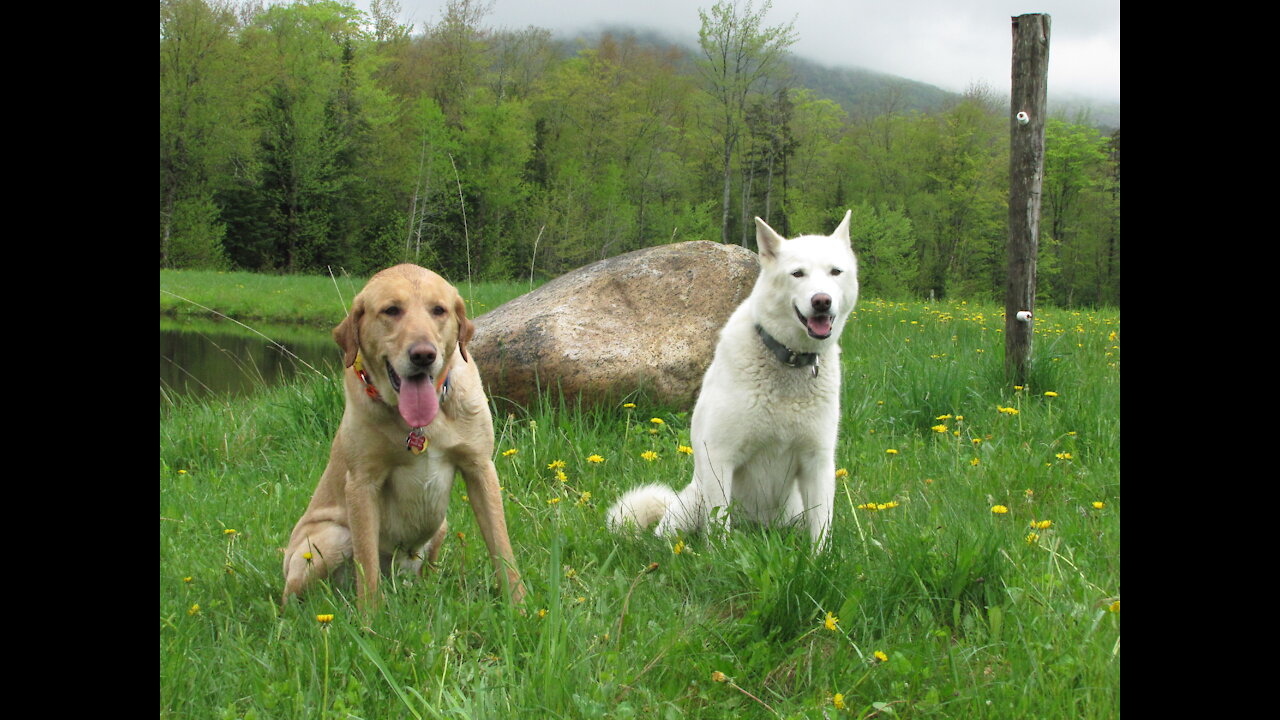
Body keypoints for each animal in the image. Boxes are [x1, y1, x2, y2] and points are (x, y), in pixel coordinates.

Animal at [609, 210, 860, 545]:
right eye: (797, 274)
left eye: (835, 272)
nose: (822, 301)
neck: (788, 361)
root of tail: (760, 527)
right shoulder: (720, 456)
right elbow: (719, 526)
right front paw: (722, 555)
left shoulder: (817, 462)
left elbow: (822, 527)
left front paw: (821, 557)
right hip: (691, 503)